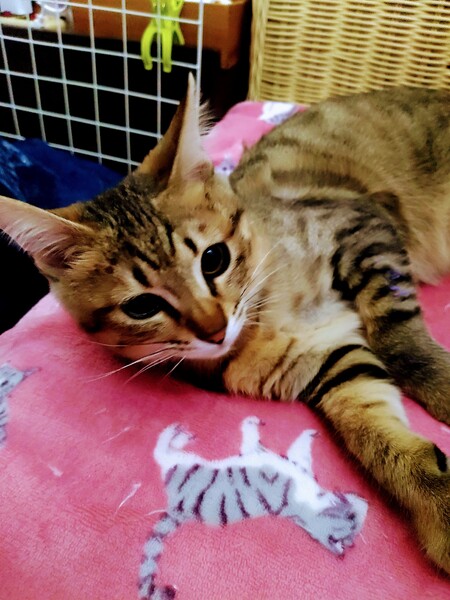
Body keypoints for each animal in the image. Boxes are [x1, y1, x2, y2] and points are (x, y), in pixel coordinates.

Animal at [0, 75, 449, 574]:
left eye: (214, 258)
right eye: (142, 306)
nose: (214, 331)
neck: (262, 317)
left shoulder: (361, 228)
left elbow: (402, 342)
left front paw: (443, 387)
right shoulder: (327, 360)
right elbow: (373, 431)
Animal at [139, 417, 368, 599]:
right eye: (353, 517)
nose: (367, 502)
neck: (303, 508)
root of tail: (177, 507)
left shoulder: (265, 458)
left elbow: (257, 439)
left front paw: (253, 424)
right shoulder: (292, 463)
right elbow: (296, 448)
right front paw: (309, 433)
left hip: (185, 464)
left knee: (161, 452)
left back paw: (175, 433)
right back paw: (179, 436)